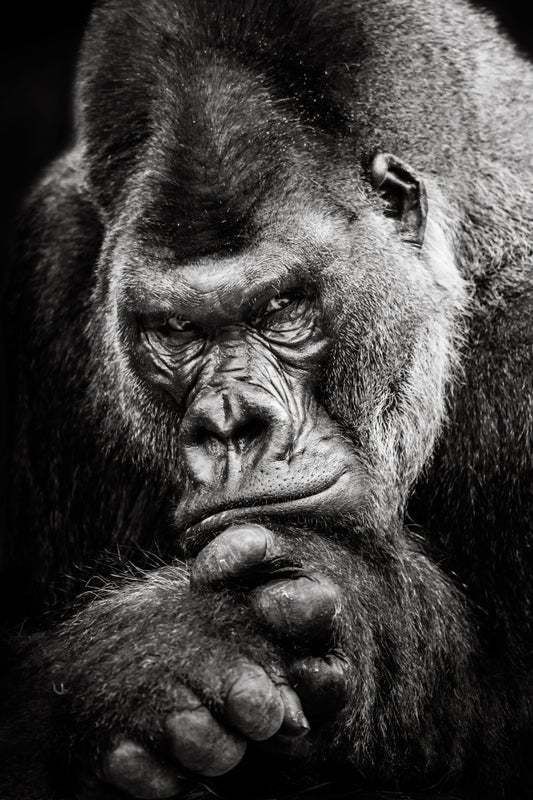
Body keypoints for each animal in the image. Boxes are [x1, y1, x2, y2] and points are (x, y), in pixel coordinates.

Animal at [1, 1, 532, 799]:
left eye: (282, 308)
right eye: (176, 330)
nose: (230, 424)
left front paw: (364, 608)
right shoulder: (50, 265)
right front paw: (150, 661)